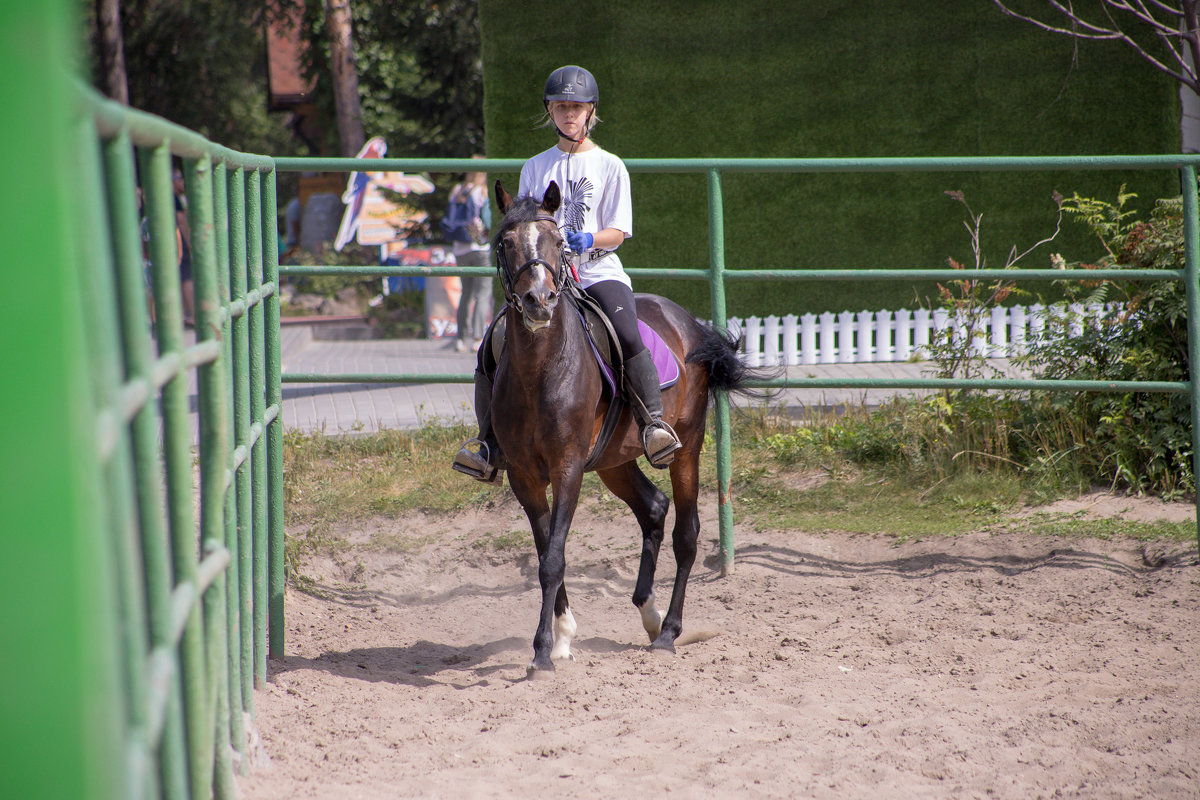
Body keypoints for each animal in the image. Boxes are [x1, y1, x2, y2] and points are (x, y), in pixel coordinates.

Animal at [484, 181, 748, 676]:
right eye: (506, 243)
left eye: (559, 241)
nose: (539, 301)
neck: (540, 371)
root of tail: (689, 321)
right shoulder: (524, 476)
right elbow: (546, 551)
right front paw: (562, 639)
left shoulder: (567, 468)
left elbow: (553, 559)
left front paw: (542, 652)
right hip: (613, 462)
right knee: (654, 508)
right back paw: (649, 614)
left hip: (687, 447)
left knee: (686, 535)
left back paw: (668, 633)